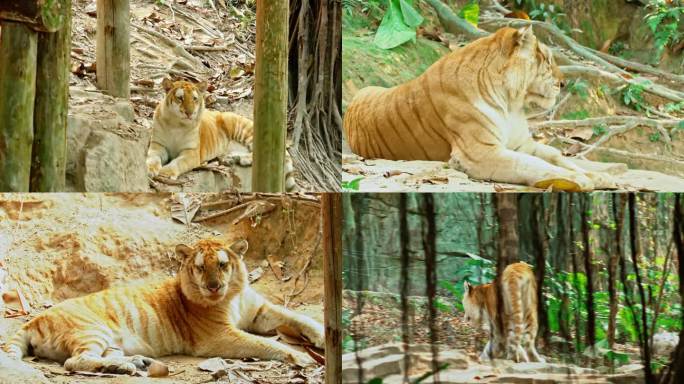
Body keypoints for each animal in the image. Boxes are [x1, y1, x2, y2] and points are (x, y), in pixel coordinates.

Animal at [3, 238, 324, 374]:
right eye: (199, 267)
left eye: (222, 265)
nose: (213, 286)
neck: (232, 296)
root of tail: (32, 321)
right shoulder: (218, 337)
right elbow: (262, 343)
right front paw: (303, 358)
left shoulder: (260, 311)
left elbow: (298, 317)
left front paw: (322, 338)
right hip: (91, 330)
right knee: (75, 361)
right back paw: (125, 367)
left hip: (110, 342)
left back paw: (132, 364)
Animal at [147, 79, 296, 191]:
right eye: (180, 98)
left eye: (194, 99)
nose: (189, 113)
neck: (176, 124)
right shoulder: (158, 145)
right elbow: (153, 158)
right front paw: (149, 169)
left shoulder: (191, 153)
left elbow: (177, 162)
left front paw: (165, 173)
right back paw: (229, 159)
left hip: (245, 130)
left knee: (261, 153)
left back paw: (241, 159)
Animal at [344, 26, 616, 191]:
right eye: (548, 61)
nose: (563, 83)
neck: (511, 104)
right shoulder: (481, 153)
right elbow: (534, 165)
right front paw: (580, 180)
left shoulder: (520, 144)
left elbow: (557, 157)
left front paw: (599, 177)